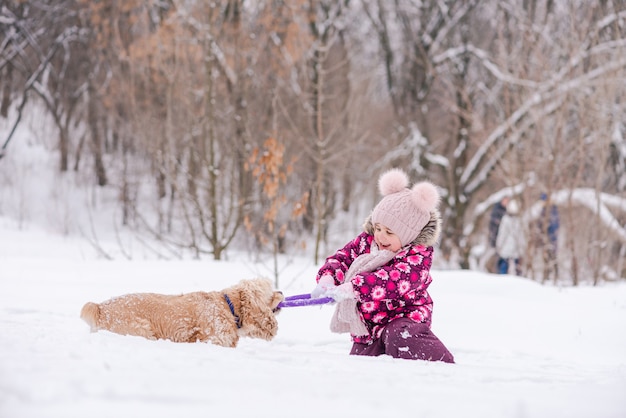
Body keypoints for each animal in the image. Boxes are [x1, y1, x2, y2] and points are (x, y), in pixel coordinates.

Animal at [80, 278, 282, 346]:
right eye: (269, 291)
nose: (281, 292)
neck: (228, 307)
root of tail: (99, 307)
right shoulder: (213, 340)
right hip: (142, 330)